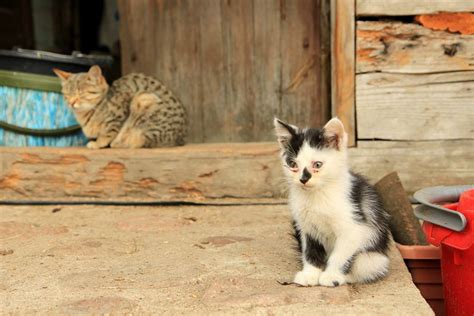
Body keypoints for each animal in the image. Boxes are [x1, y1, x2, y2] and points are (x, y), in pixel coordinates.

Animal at [52, 65, 185, 148]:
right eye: (67, 94)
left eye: (81, 93)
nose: (71, 102)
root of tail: (179, 139)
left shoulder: (119, 115)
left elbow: (109, 132)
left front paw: (98, 143)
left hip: (143, 99)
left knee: (142, 141)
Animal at [276, 118, 390, 286]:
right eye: (292, 164)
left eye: (317, 164)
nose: (303, 179)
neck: (317, 196)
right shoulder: (305, 226)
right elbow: (309, 250)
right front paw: (310, 274)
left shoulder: (353, 227)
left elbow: (340, 254)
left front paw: (331, 276)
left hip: (374, 258)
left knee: (366, 266)